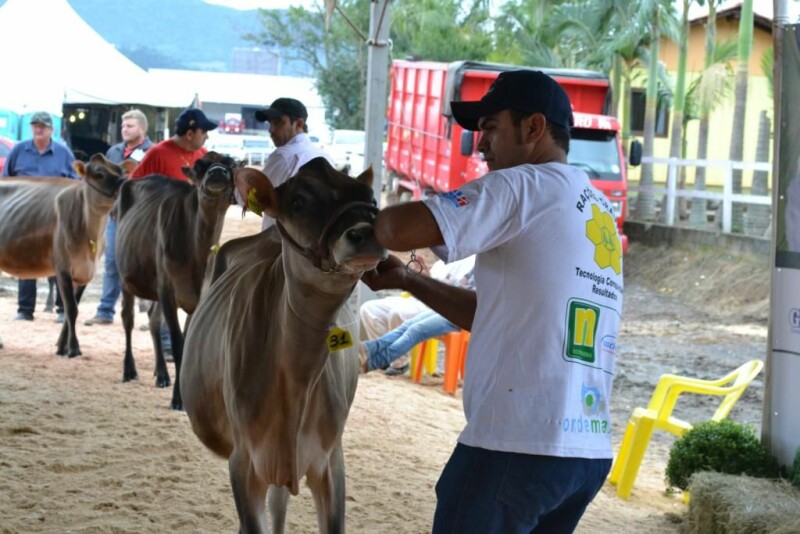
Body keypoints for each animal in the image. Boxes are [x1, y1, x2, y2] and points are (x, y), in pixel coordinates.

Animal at [0, 155, 132, 356]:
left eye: (122, 171)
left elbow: (73, 308)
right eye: (99, 174)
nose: (125, 186)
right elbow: (71, 309)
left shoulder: (85, 272)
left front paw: (62, 347)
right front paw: (74, 348)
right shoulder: (62, 268)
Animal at [115, 153, 238, 412]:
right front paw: (178, 399)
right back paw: (129, 370)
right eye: (200, 165)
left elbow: (186, 338)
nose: (218, 171)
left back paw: (162, 374)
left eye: (231, 164)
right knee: (128, 319)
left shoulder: (200, 293)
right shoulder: (168, 289)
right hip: (126, 277)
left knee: (153, 320)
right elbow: (178, 342)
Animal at [180, 159, 386, 534]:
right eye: (298, 201)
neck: (296, 381)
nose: (366, 233)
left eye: (372, 199)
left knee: (279, 501)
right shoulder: (244, 463)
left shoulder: (330, 460)